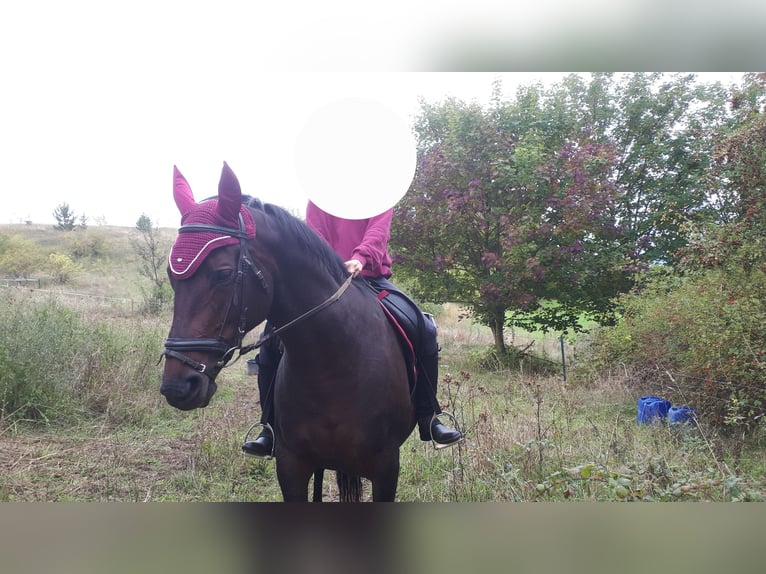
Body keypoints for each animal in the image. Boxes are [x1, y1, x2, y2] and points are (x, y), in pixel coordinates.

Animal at [158, 163, 416, 504]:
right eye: (172, 276)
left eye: (223, 275)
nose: (178, 387)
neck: (333, 363)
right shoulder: (291, 463)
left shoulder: (386, 468)